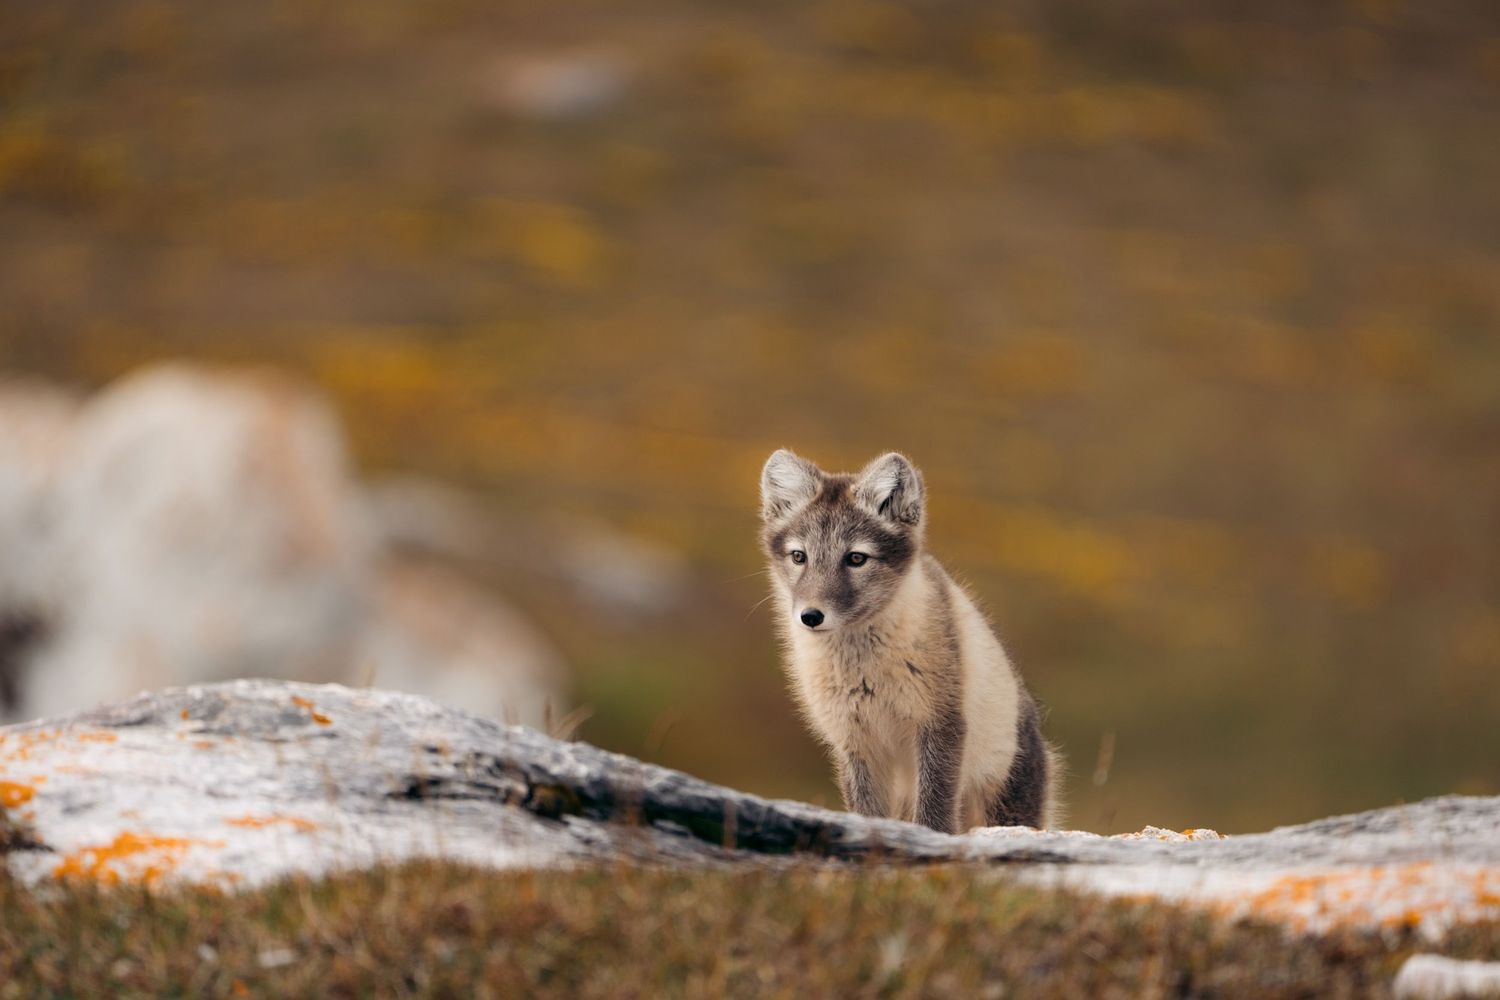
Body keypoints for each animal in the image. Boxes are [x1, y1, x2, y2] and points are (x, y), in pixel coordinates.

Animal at [760, 449, 1061, 834]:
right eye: (799, 556)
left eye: (856, 558)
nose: (810, 616)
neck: (862, 671)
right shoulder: (854, 740)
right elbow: (867, 811)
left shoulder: (940, 724)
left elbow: (934, 810)